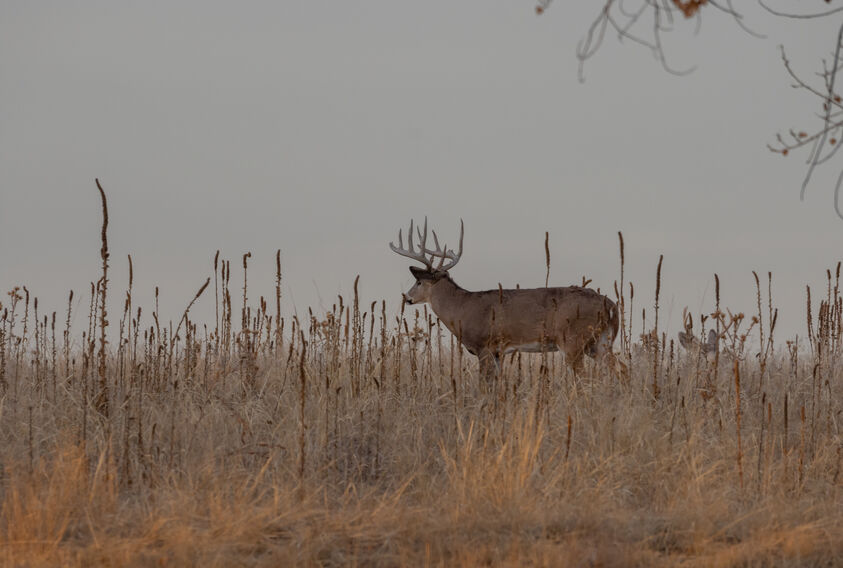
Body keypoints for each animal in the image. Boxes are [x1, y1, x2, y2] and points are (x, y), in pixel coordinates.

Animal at [390, 220, 628, 384]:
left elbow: (484, 385)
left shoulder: (484, 346)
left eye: (419, 281)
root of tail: (611, 305)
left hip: (573, 340)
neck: (461, 309)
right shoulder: (498, 353)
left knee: (584, 377)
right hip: (600, 341)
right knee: (621, 368)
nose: (407, 298)